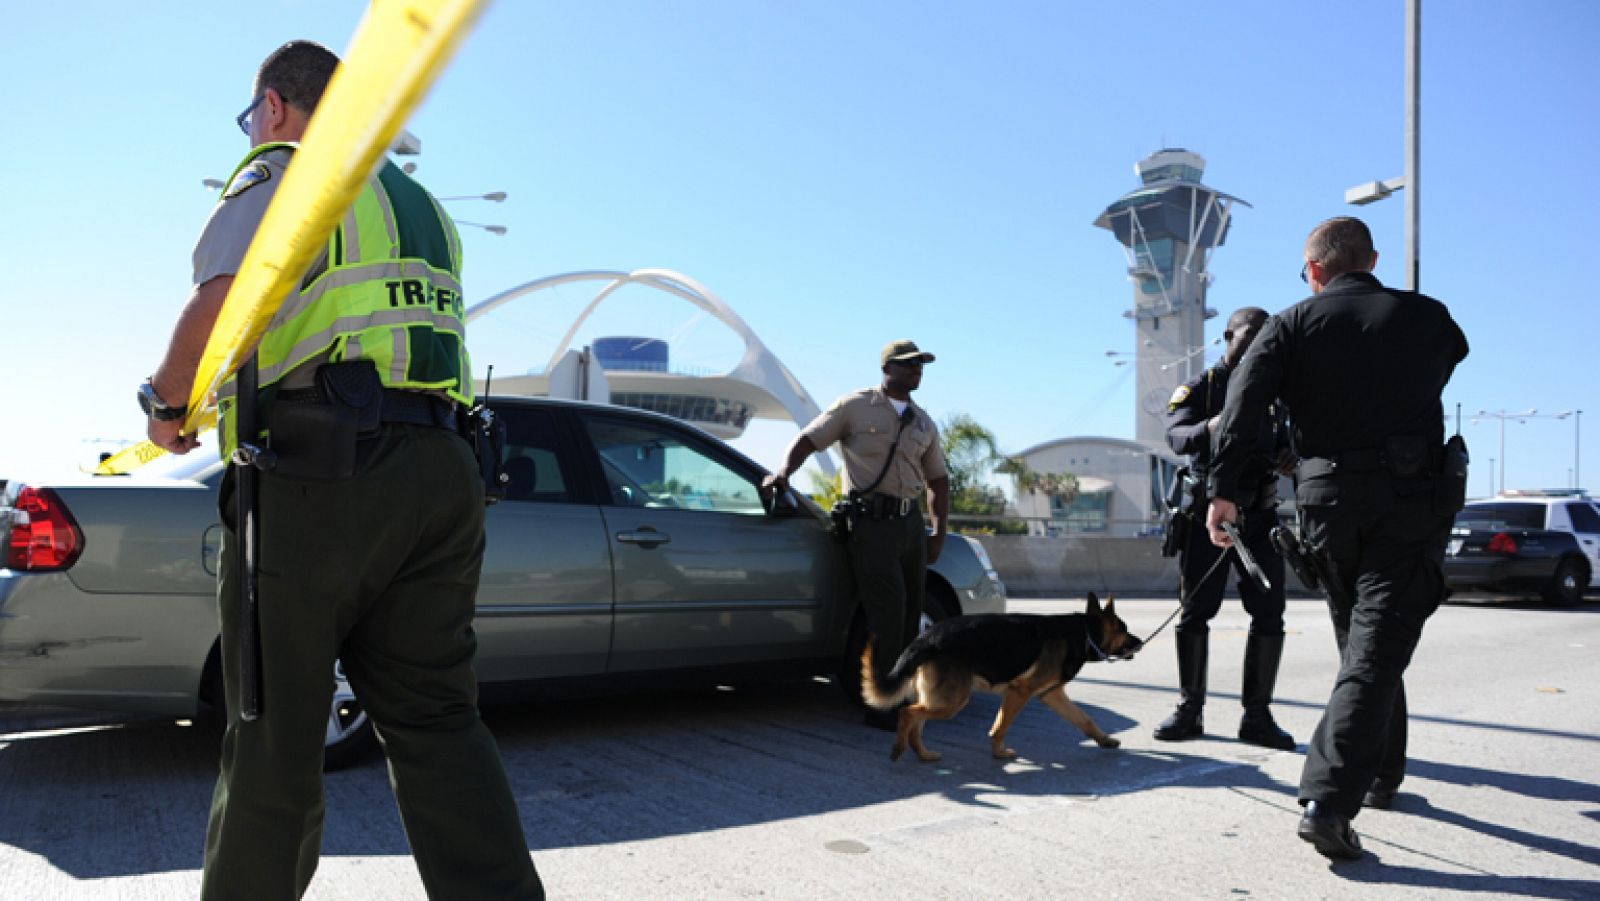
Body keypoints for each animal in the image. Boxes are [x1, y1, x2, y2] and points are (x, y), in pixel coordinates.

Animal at [857, 595, 1145, 764]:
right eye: (1124, 630)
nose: (1141, 642)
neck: (1085, 632)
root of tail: (926, 637)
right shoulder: (1019, 692)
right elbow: (1001, 726)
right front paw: (999, 753)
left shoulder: (1052, 695)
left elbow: (1084, 719)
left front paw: (1104, 740)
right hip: (952, 702)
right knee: (907, 713)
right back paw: (899, 747)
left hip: (940, 698)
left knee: (917, 720)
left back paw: (923, 754)